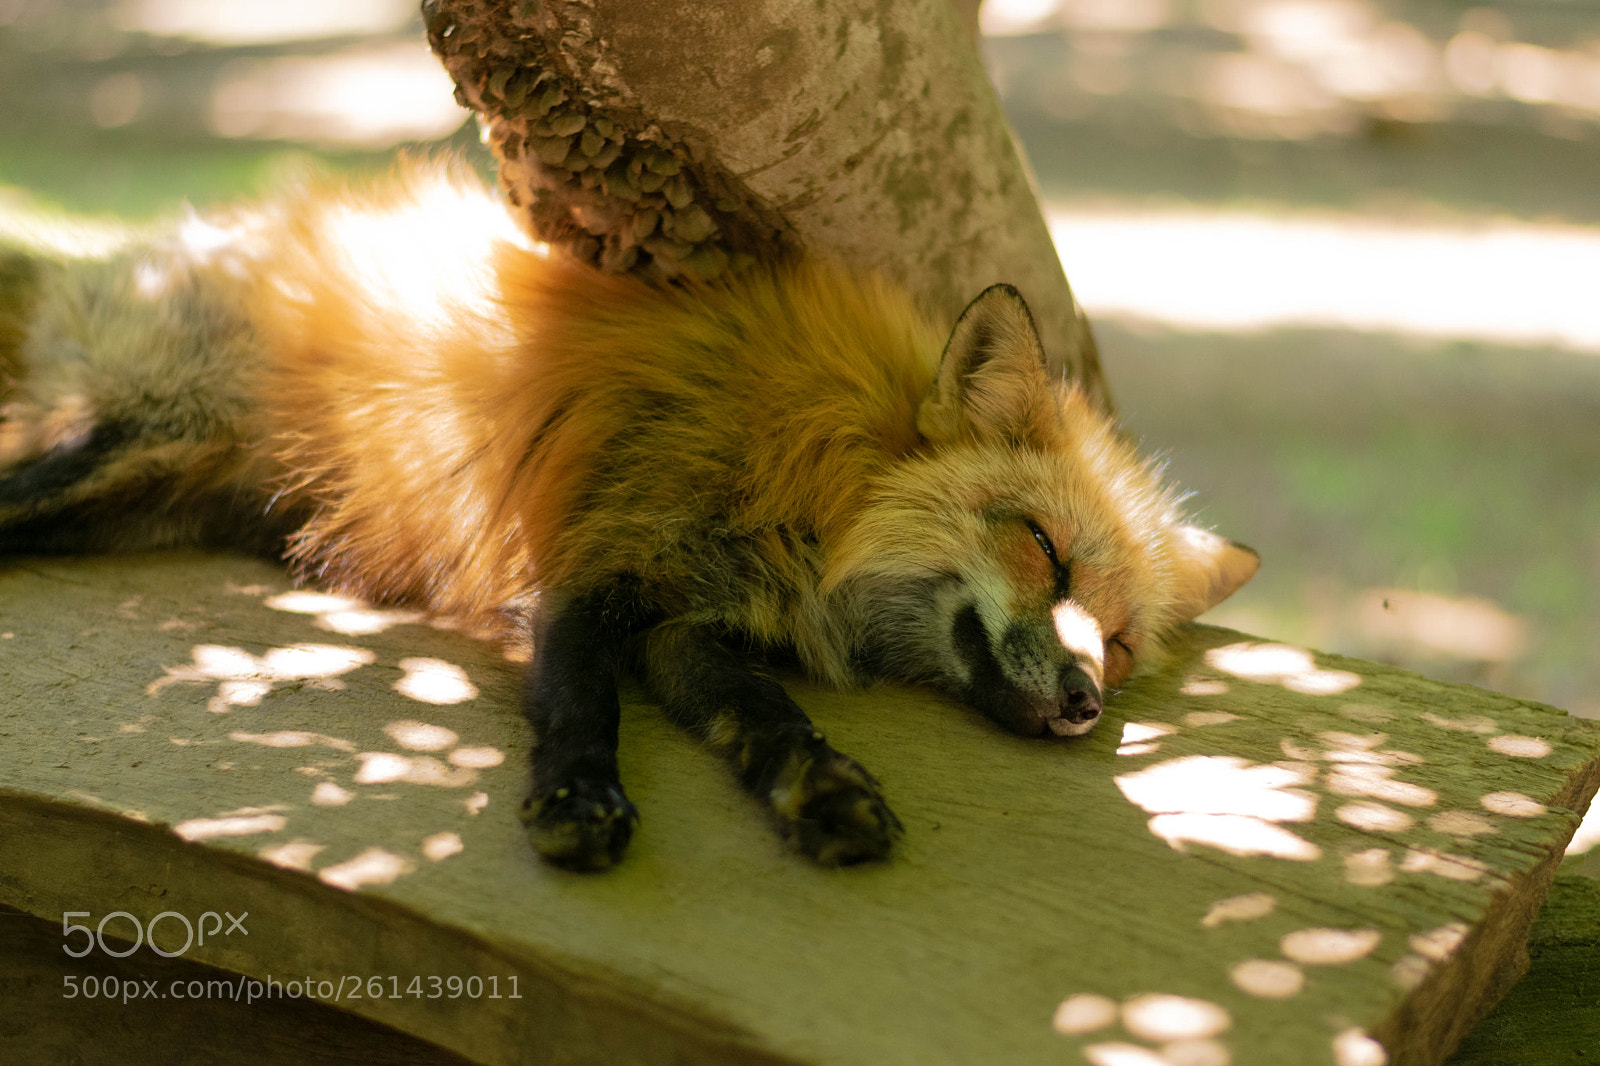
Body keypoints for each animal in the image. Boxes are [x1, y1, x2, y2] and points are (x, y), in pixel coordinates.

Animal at [0, 164, 1259, 871]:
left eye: (1124, 641)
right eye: (1043, 550)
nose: (1086, 698)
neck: (808, 486)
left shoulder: (687, 623)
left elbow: (768, 716)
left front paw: (825, 791)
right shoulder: (600, 557)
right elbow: (579, 704)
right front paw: (573, 802)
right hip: (113, 448)